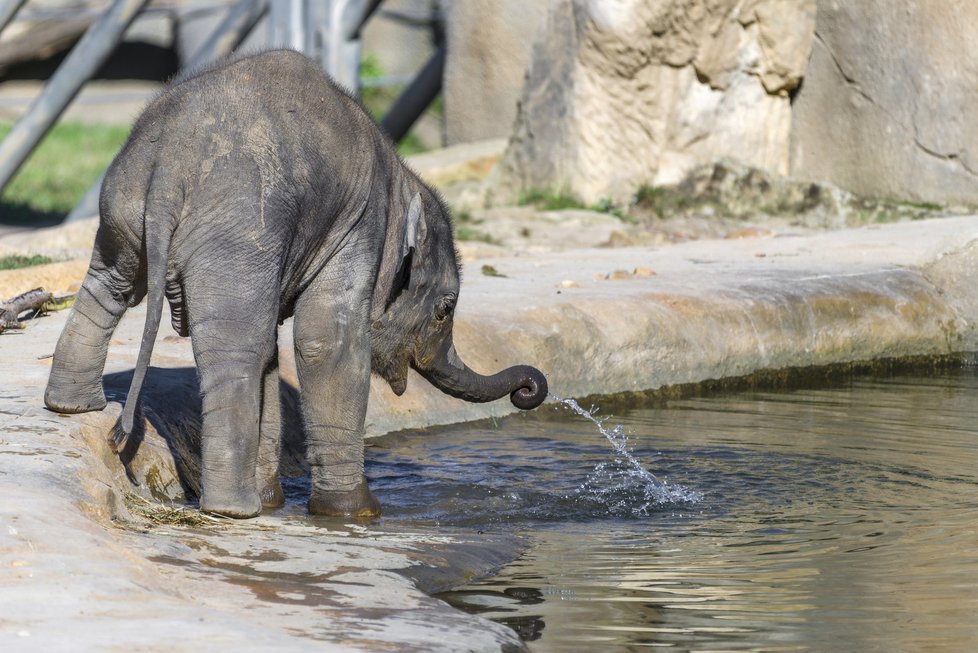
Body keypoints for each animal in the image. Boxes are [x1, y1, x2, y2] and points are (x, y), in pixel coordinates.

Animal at [45, 49, 544, 520]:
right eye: (444, 309)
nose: (528, 389)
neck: (403, 179)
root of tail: (171, 162)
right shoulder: (360, 227)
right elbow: (328, 342)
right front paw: (356, 513)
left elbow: (275, 349)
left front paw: (275, 502)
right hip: (240, 231)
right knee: (234, 349)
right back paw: (232, 510)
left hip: (125, 203)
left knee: (111, 286)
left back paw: (73, 407)